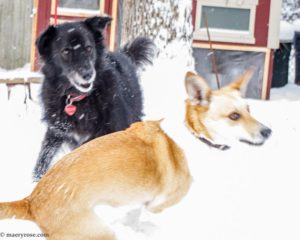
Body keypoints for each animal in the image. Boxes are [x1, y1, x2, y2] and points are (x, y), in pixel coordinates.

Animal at [34, 16, 154, 180]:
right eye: (66, 51)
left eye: (89, 48)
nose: (88, 74)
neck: (78, 99)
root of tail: (125, 55)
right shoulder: (56, 130)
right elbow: (44, 156)